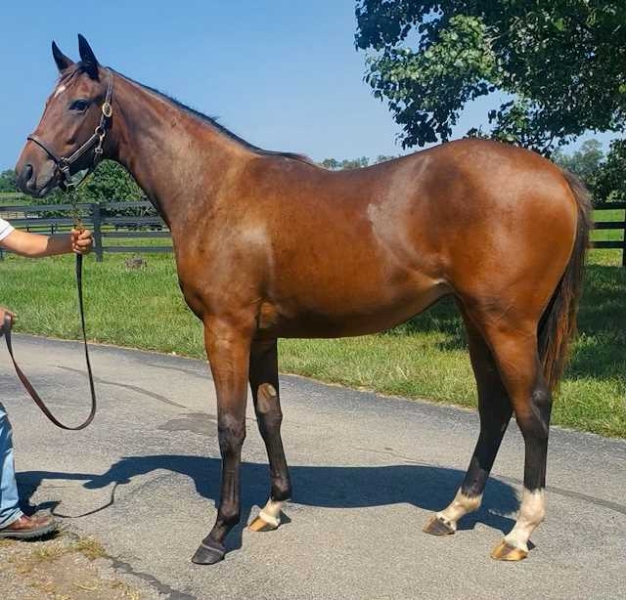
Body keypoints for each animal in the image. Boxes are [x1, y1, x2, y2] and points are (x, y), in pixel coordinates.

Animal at [15, 36, 588, 564]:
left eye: (79, 103)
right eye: (49, 99)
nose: (26, 173)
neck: (215, 190)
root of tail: (555, 175)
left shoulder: (226, 329)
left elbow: (230, 426)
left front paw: (219, 533)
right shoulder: (261, 335)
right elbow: (270, 415)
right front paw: (271, 509)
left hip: (506, 323)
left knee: (532, 409)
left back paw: (519, 532)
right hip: (475, 319)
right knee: (495, 408)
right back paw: (453, 512)